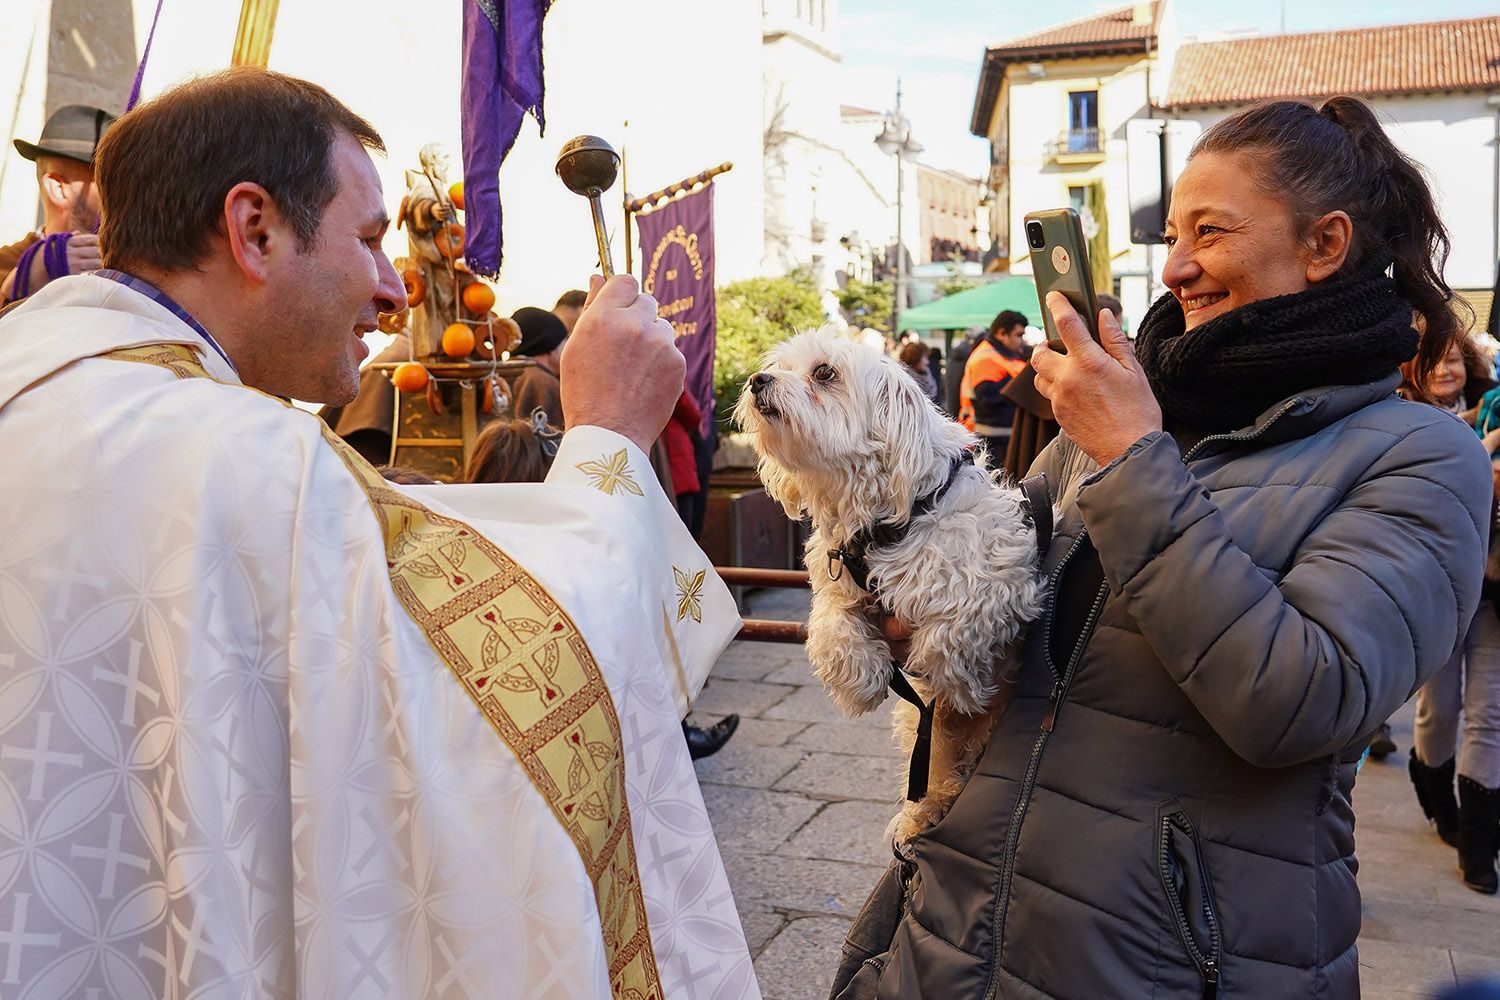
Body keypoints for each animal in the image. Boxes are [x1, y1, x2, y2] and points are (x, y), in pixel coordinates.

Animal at [735, 332, 1044, 839]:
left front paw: (960, 685)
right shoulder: (837, 578)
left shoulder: (1000, 581)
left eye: (824, 373)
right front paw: (861, 680)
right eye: (778, 367)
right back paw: (924, 813)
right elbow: (831, 628)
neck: (884, 524)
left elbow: (950, 633)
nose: (758, 380)